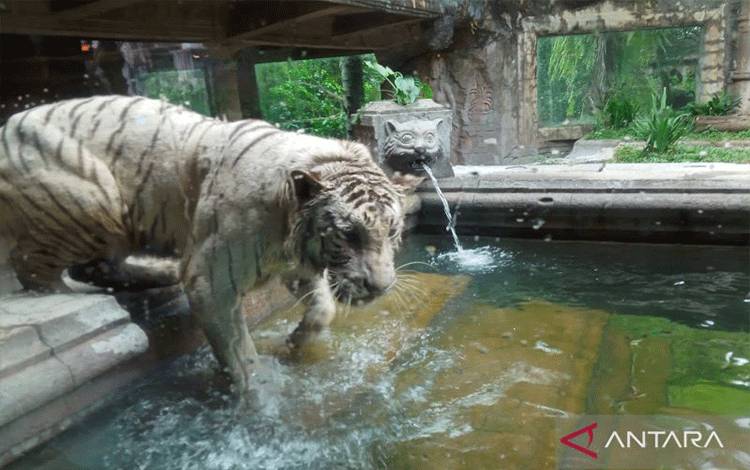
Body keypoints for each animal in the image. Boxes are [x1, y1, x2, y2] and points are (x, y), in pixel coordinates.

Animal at [0, 95, 421, 391]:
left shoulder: (297, 265)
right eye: (349, 234)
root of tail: (8, 125)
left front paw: (295, 342)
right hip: (95, 198)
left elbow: (324, 309)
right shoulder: (212, 282)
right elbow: (238, 351)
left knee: (99, 265)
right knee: (32, 266)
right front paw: (262, 395)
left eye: (393, 232)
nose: (380, 287)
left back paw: (162, 270)